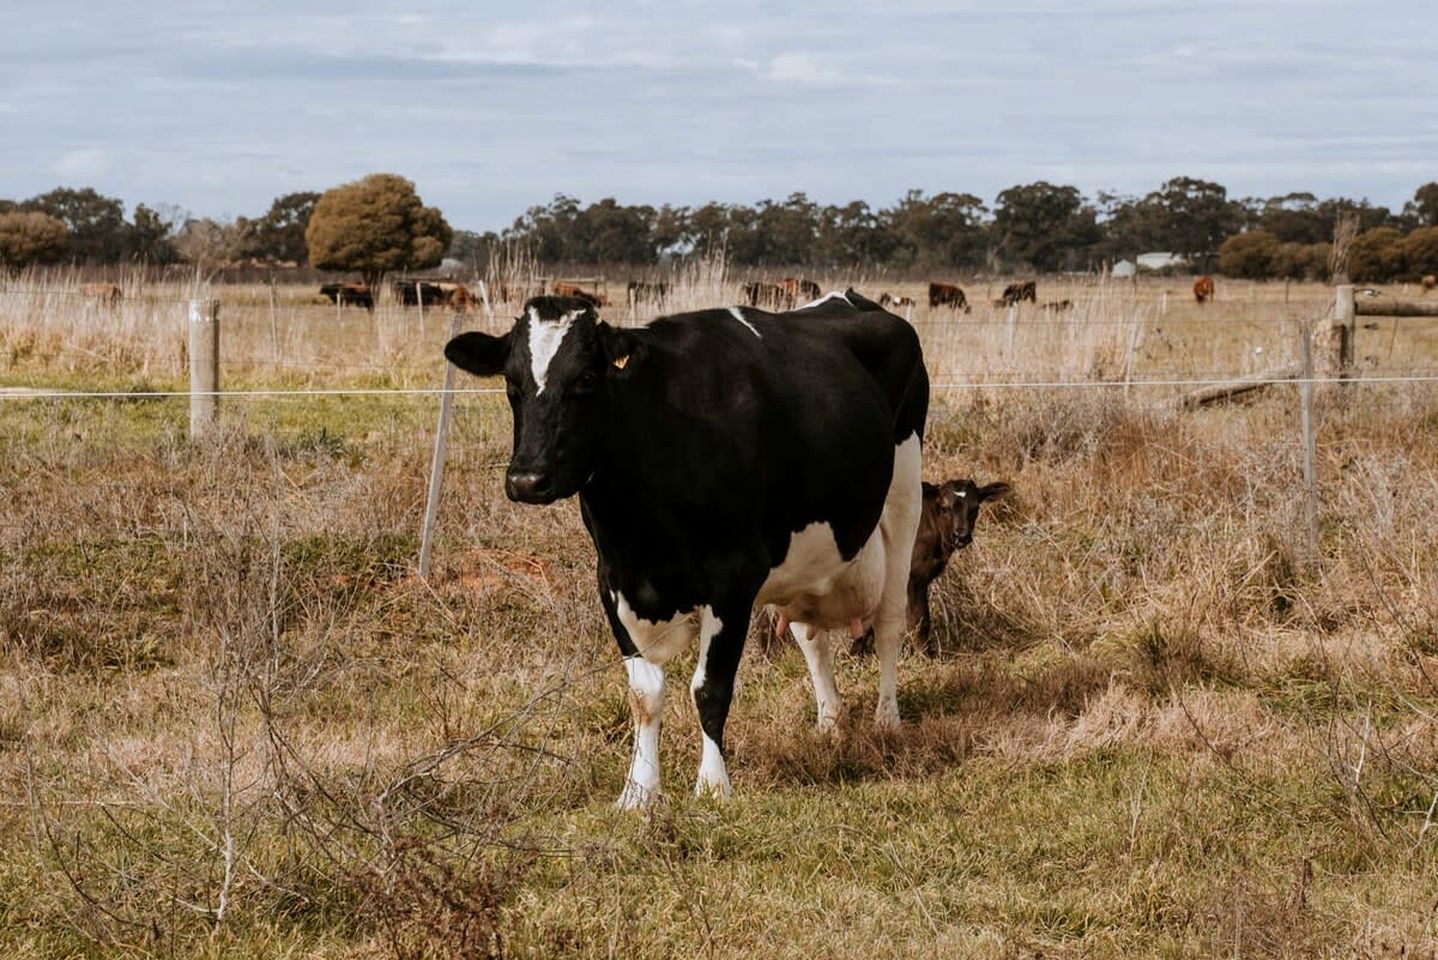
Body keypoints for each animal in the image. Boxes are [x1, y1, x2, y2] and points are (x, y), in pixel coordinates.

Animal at [444, 289, 929, 807]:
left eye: (587, 378)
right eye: (511, 383)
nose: (527, 479)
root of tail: (851, 298)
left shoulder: (734, 577)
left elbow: (709, 688)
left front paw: (713, 786)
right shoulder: (612, 580)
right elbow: (644, 693)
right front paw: (638, 792)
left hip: (904, 492)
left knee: (890, 622)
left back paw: (886, 721)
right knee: (810, 636)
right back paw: (830, 722)